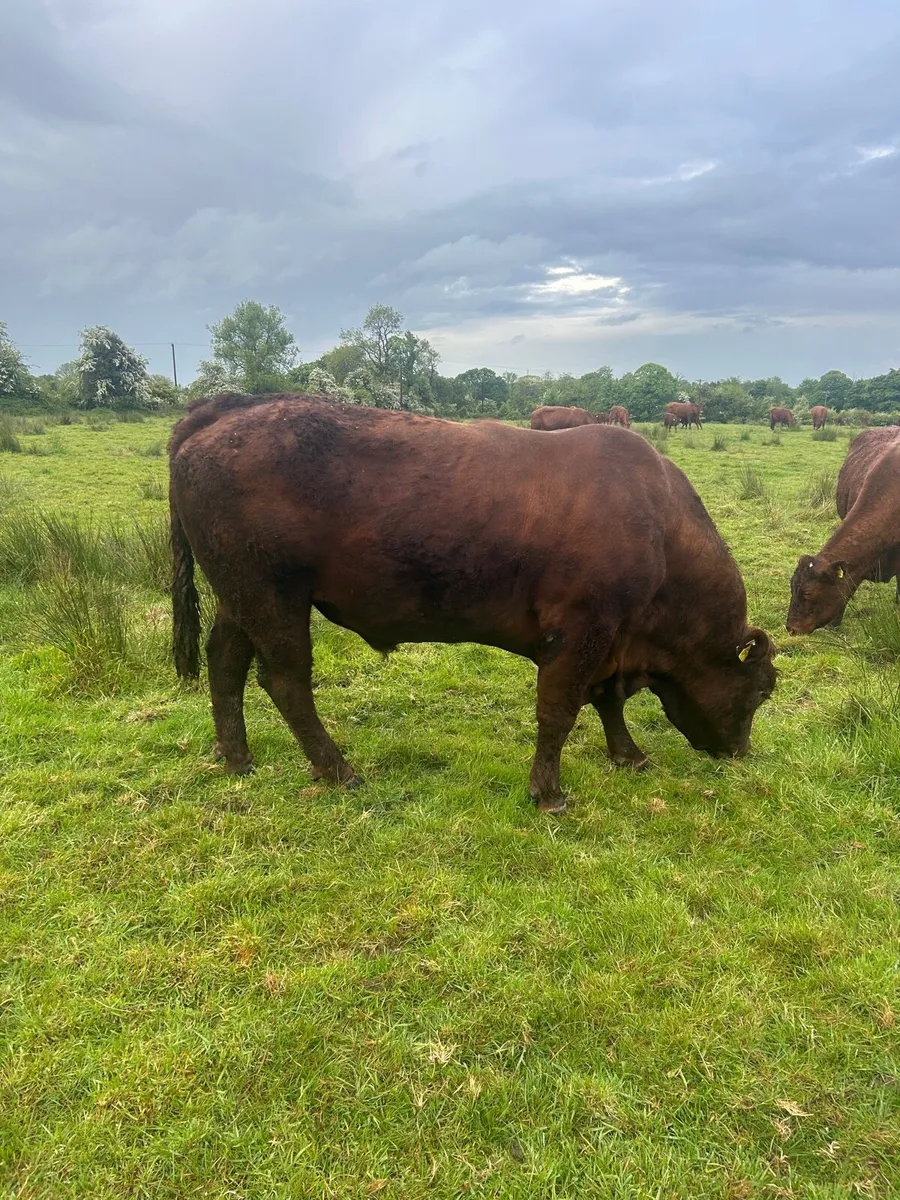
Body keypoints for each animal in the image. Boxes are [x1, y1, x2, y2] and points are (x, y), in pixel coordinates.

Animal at [169, 394, 776, 814]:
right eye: (761, 692)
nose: (739, 752)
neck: (659, 523)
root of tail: (225, 409)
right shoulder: (580, 633)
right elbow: (559, 710)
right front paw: (549, 793)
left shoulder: (609, 639)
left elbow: (607, 702)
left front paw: (629, 755)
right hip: (273, 597)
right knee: (286, 681)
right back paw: (338, 770)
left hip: (240, 598)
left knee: (226, 663)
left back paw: (237, 757)